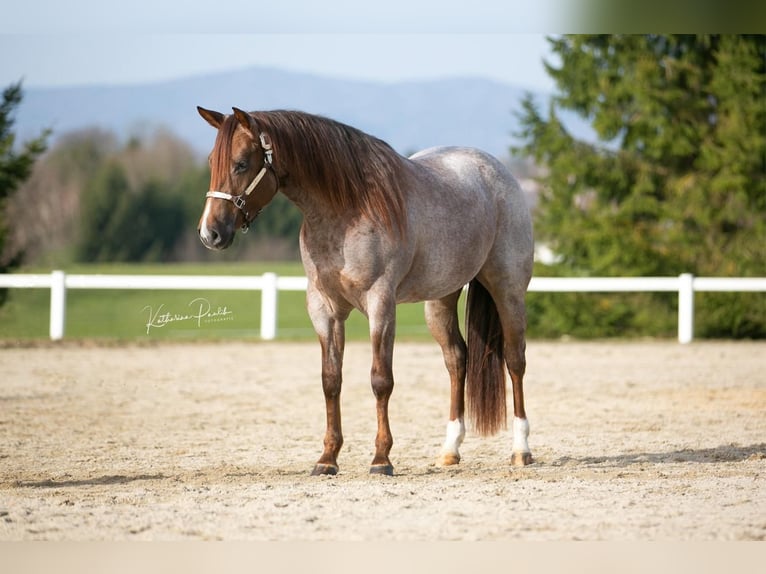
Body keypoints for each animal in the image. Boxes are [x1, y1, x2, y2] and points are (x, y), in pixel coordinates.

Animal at [195, 107, 536, 476]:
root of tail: (498, 171)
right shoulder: (324, 309)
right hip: (440, 299)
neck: (347, 210)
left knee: (515, 360)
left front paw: (381, 459)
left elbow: (380, 380)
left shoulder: (380, 303)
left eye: (242, 163)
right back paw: (449, 450)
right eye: (212, 160)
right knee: (457, 360)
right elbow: (331, 380)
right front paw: (327, 458)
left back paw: (521, 449)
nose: (210, 233)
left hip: (508, 289)